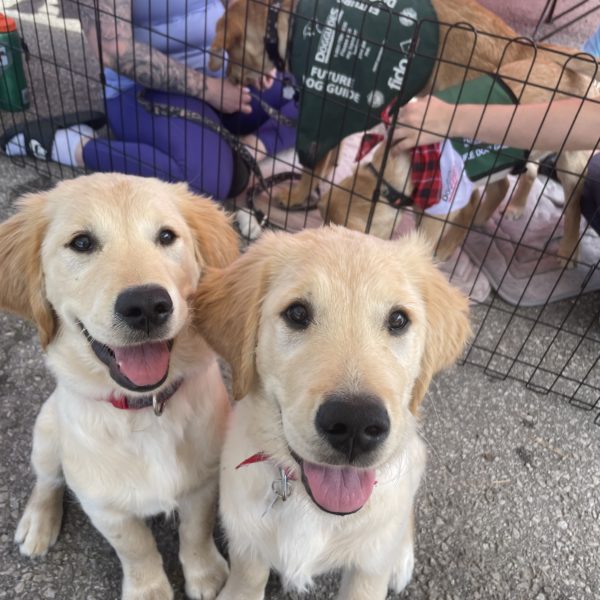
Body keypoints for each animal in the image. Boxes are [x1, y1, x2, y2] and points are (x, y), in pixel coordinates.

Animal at [1, 173, 241, 600]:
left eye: (167, 236)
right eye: (82, 243)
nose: (146, 305)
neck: (145, 408)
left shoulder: (203, 480)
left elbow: (195, 530)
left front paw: (206, 574)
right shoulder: (104, 504)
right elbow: (136, 548)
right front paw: (149, 590)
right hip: (46, 429)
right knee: (48, 479)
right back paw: (37, 522)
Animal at [195, 226, 472, 600]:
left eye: (398, 319)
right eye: (297, 313)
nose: (355, 423)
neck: (310, 505)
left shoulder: (367, 575)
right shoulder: (247, 548)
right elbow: (247, 581)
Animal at [209, 0, 592, 214]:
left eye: (229, 52)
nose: (230, 82)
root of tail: (529, 50)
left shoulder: (323, 113)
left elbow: (311, 167)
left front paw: (298, 196)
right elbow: (328, 162)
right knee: (517, 177)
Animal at [322, 59, 596, 264]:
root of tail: (586, 81)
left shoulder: (442, 209)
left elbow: (425, 242)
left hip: (570, 163)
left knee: (573, 206)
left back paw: (568, 249)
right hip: (515, 158)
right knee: (515, 179)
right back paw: (511, 208)